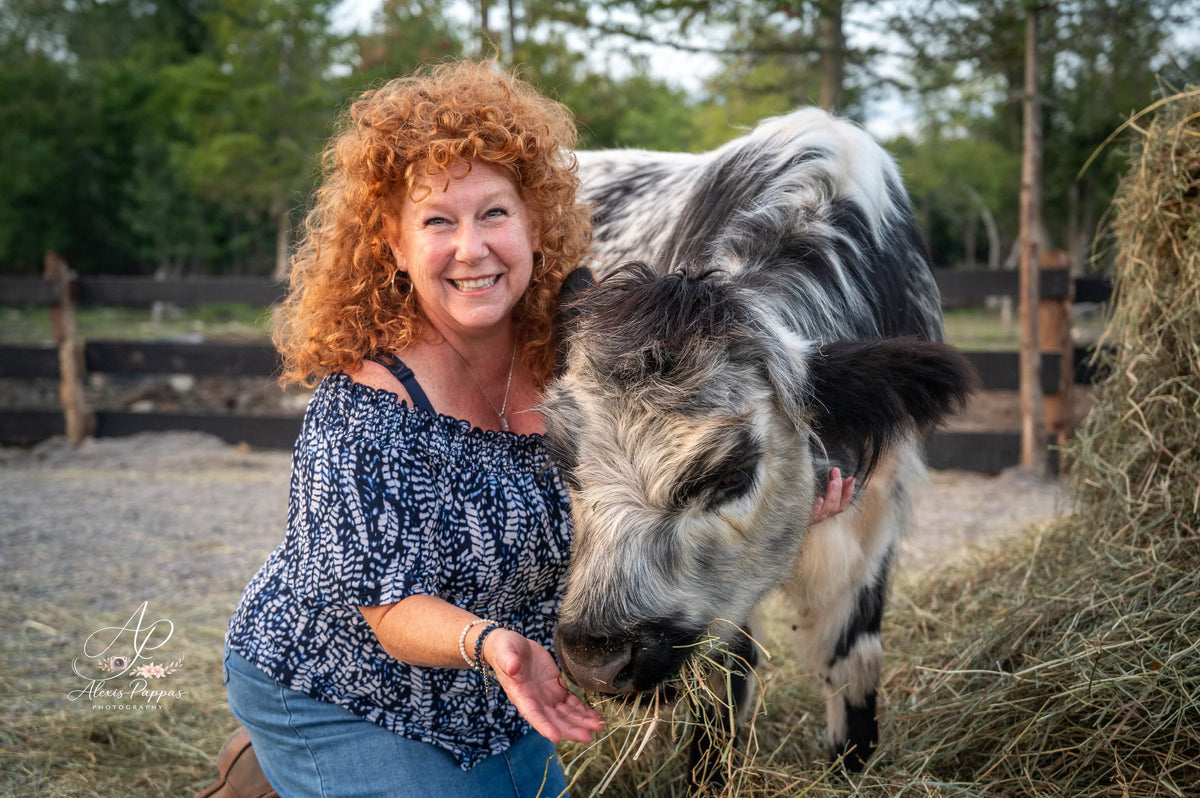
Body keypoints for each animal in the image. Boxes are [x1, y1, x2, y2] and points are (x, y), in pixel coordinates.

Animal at [542, 108, 976, 787]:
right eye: (562, 460)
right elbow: (724, 687)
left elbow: (856, 662)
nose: (596, 655)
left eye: (731, 474)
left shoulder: (875, 522)